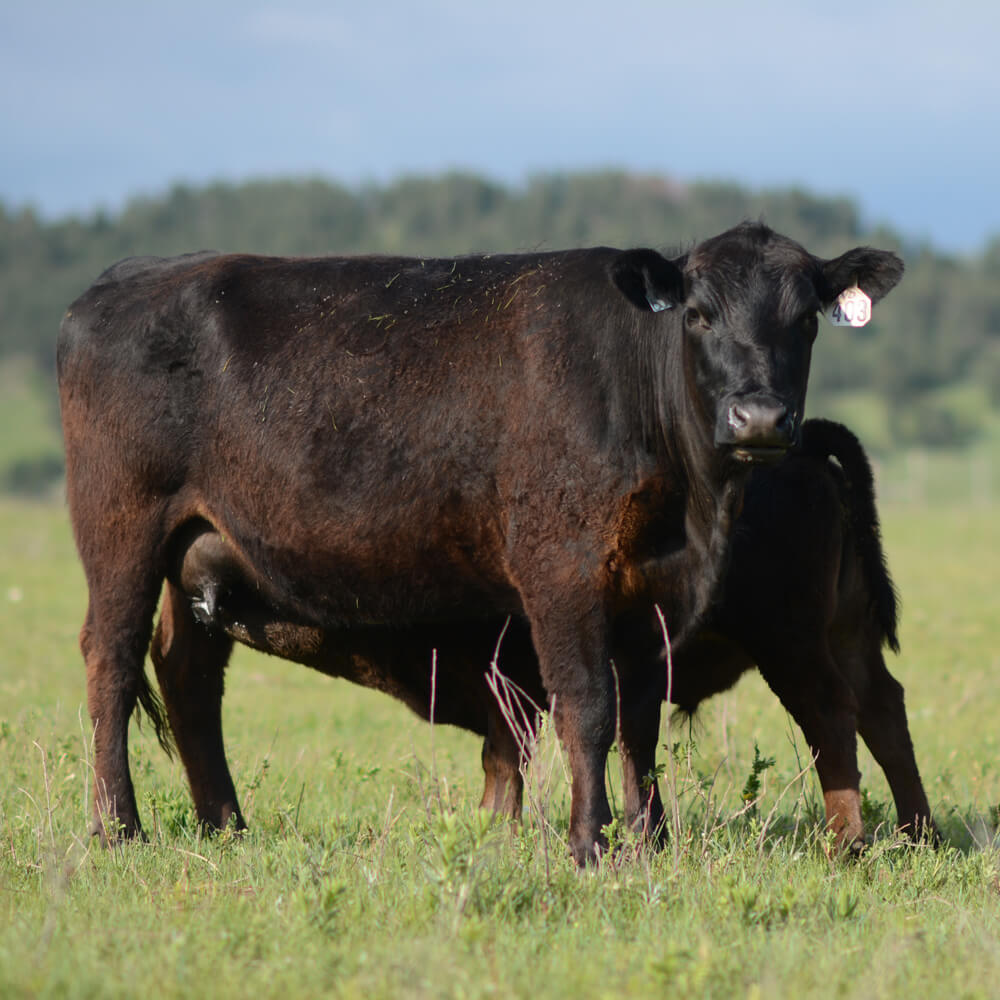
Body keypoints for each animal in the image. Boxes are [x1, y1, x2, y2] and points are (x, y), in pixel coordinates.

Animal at [56, 223, 908, 864]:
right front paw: (589, 844)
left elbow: (638, 722)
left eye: (806, 319)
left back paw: (224, 823)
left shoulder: (650, 597)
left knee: (187, 675)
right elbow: (588, 708)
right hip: (122, 528)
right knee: (112, 660)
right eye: (697, 313)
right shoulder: (560, 573)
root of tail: (128, 279)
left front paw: (646, 842)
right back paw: (118, 827)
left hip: (196, 550)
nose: (759, 418)